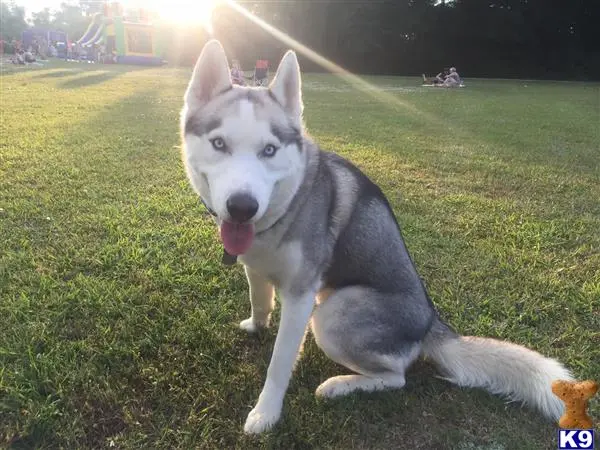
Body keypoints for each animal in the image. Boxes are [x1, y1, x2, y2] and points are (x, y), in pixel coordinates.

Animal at [179, 40, 572, 434]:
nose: (242, 207)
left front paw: (266, 412)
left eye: (270, 150)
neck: (286, 206)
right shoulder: (255, 267)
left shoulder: (301, 296)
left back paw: (340, 386)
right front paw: (256, 326)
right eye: (219, 144)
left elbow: (279, 363)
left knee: (396, 377)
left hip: (332, 314)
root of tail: (431, 322)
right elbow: (260, 301)